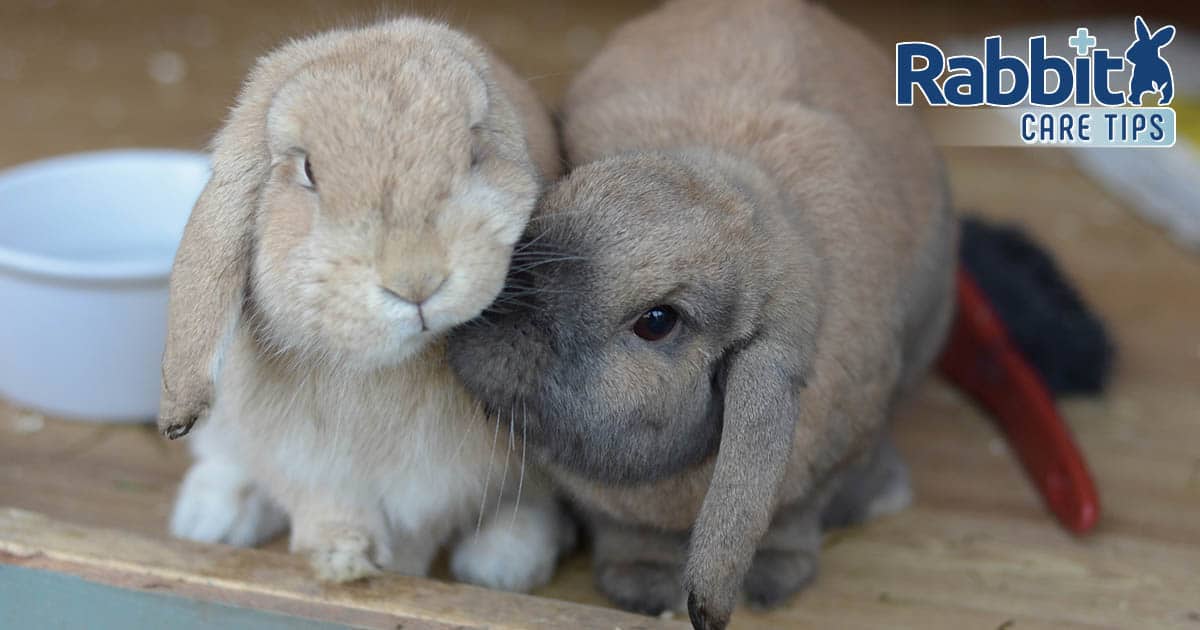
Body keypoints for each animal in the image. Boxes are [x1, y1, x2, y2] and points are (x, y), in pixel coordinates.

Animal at [162, 18, 568, 590]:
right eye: (308, 171)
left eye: (473, 150)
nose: (416, 280)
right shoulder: (300, 463)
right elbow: (326, 510)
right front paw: (340, 560)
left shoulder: (444, 485)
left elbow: (420, 532)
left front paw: (396, 570)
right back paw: (211, 517)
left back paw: (501, 562)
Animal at [448, 0, 955, 624]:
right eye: (563, 195)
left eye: (657, 321)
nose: (489, 306)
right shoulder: (606, 506)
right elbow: (623, 534)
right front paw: (640, 587)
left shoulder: (819, 475)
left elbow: (791, 522)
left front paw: (771, 582)